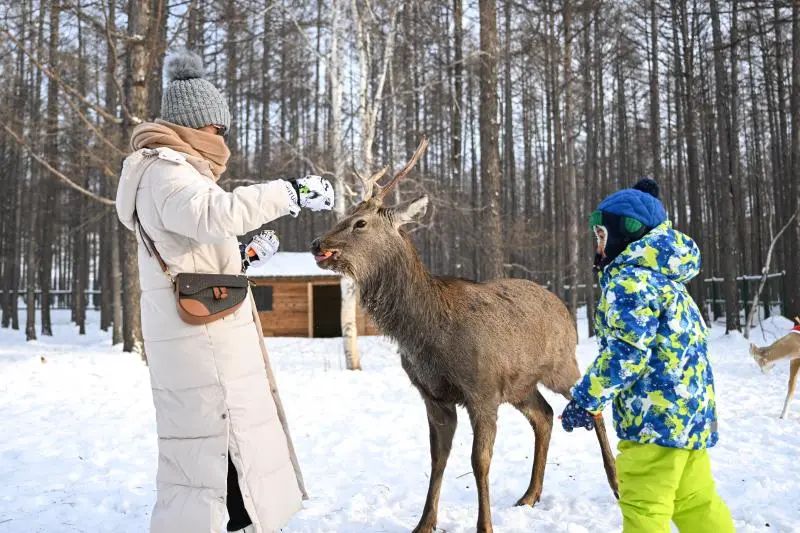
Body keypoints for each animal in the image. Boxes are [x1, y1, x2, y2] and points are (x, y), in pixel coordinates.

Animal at [310, 139, 616, 528]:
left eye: (360, 222)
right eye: (344, 215)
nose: (317, 243)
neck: (426, 333)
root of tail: (563, 308)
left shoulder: (482, 390)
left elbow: (479, 461)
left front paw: (484, 525)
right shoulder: (433, 395)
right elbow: (437, 459)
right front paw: (424, 523)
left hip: (561, 364)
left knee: (594, 406)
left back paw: (616, 483)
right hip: (520, 386)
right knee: (545, 416)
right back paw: (529, 495)